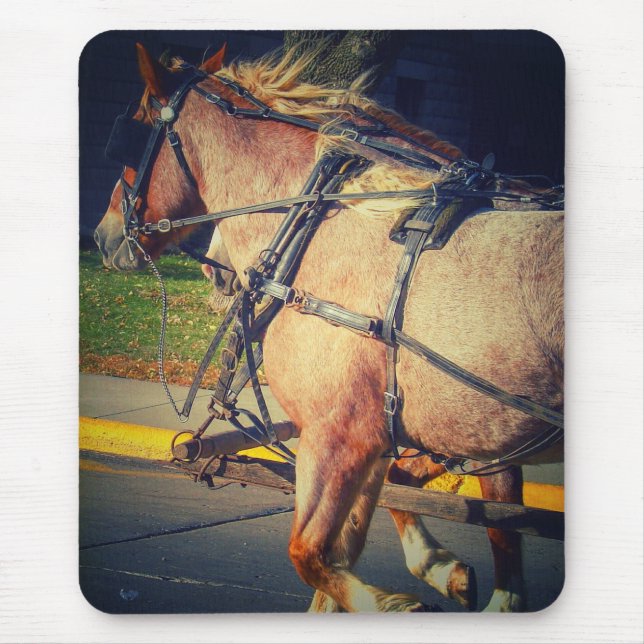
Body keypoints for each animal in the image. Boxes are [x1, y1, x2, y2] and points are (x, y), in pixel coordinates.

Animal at [94, 44, 563, 612]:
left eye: (135, 133)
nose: (102, 236)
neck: (333, 222)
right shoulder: (426, 440)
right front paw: (440, 568)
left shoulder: (339, 435)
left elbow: (311, 555)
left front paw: (403, 599)